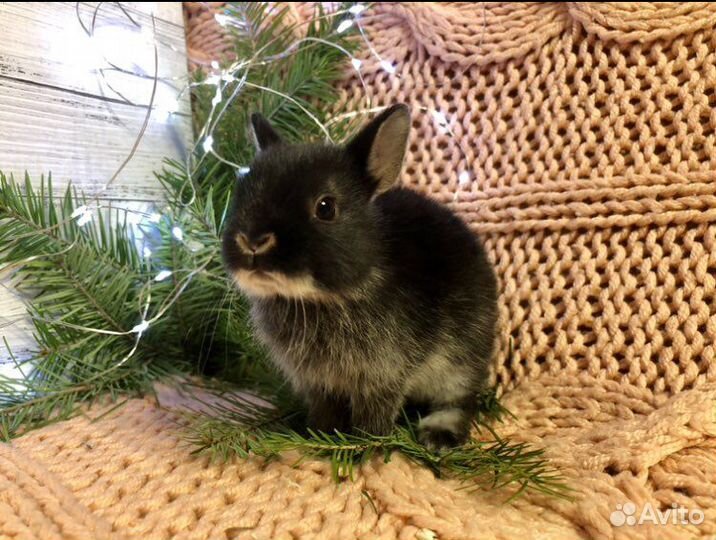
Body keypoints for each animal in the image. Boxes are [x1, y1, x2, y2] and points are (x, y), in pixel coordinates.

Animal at [222, 104, 498, 450]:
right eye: (241, 194)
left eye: (325, 207)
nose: (252, 241)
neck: (324, 298)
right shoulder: (320, 383)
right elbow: (325, 409)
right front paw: (319, 435)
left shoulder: (383, 375)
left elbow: (374, 413)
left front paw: (364, 445)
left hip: (462, 358)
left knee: (460, 399)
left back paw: (437, 435)